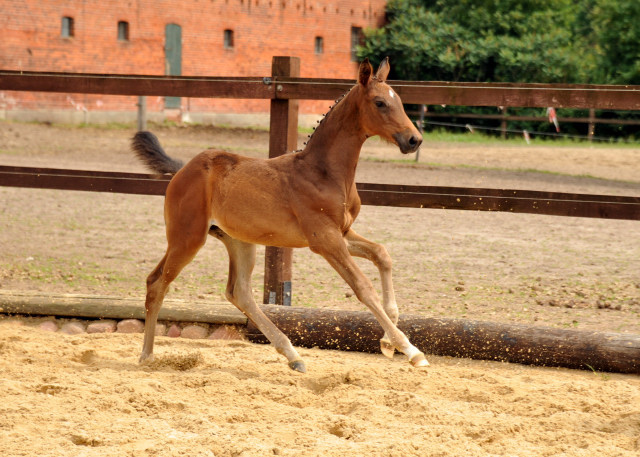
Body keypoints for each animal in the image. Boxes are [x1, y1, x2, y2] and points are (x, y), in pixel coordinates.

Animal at [132, 58, 428, 370]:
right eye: (380, 103)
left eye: (400, 101)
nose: (414, 140)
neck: (324, 173)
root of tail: (182, 170)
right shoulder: (325, 240)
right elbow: (362, 286)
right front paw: (409, 349)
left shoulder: (341, 233)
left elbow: (382, 254)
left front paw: (387, 341)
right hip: (187, 237)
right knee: (157, 283)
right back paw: (147, 355)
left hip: (238, 241)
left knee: (239, 292)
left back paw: (293, 355)